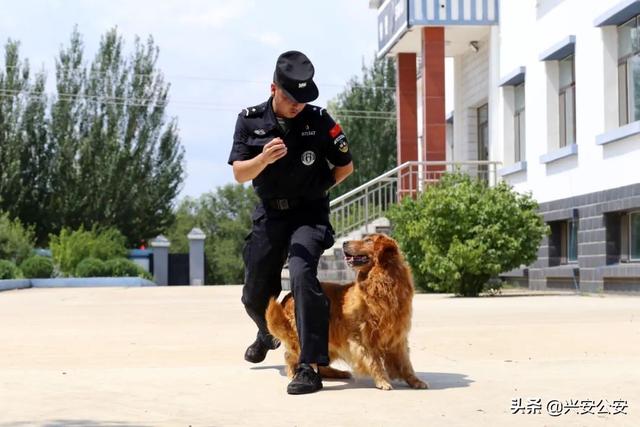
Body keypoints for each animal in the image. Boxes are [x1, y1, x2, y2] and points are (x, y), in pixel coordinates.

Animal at [264, 234, 424, 392]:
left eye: (368, 240)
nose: (344, 243)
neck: (382, 280)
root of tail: (288, 296)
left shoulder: (398, 337)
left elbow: (405, 363)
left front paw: (415, 381)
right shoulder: (363, 336)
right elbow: (374, 360)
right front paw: (382, 380)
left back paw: (338, 373)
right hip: (303, 336)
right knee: (292, 356)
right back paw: (294, 373)